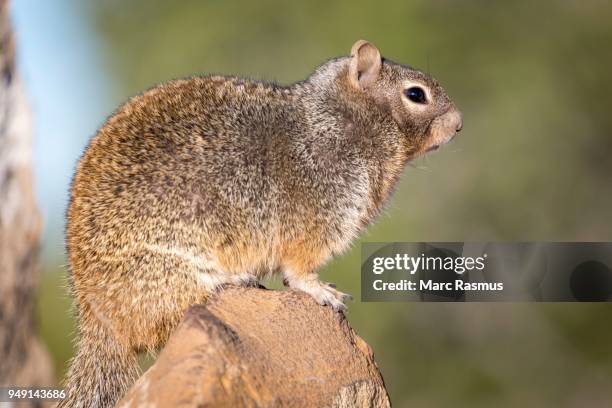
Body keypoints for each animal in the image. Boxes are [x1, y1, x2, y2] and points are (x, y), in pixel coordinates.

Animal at [61, 39, 464, 408]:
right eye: (416, 94)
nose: (459, 125)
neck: (340, 119)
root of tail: (95, 318)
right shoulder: (321, 214)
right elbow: (298, 269)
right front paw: (323, 291)